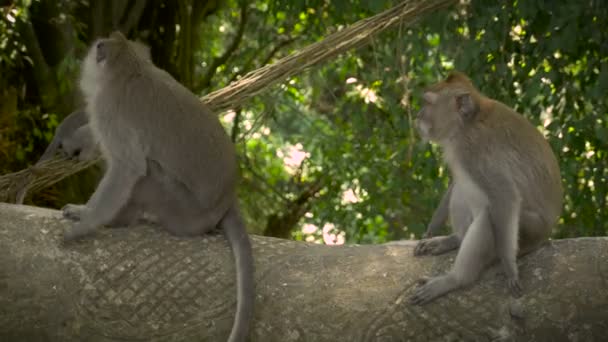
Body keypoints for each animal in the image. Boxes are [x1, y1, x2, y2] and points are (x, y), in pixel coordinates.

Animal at [63, 32, 256, 342]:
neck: (131, 68)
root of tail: (228, 198)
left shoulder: (108, 108)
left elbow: (128, 166)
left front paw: (84, 220)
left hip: (179, 206)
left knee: (147, 171)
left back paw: (120, 219)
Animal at [410, 71, 564, 304]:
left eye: (427, 103)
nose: (418, 116)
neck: (466, 125)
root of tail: (547, 233)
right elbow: (456, 182)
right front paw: (431, 230)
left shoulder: (475, 150)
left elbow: (506, 196)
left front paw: (510, 270)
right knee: (463, 188)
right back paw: (455, 239)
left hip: (531, 229)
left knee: (487, 217)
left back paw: (454, 279)